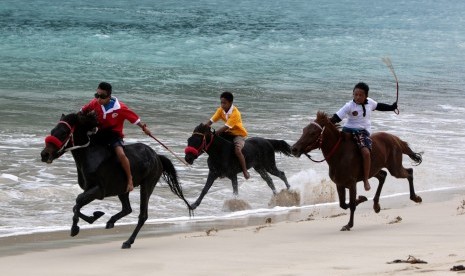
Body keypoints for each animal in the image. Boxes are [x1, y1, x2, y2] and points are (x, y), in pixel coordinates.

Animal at [40, 111, 191, 248]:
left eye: (63, 133)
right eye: (53, 131)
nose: (44, 154)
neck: (91, 155)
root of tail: (157, 156)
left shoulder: (98, 190)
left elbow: (78, 201)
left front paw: (77, 227)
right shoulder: (91, 190)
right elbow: (76, 205)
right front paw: (95, 216)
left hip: (147, 185)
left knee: (142, 215)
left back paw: (128, 242)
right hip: (123, 190)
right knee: (127, 208)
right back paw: (111, 222)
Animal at [292, 111, 422, 231]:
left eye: (313, 133)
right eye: (304, 130)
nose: (294, 149)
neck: (339, 154)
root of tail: (396, 139)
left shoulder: (351, 183)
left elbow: (352, 204)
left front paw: (349, 224)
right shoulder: (339, 184)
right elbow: (343, 204)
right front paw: (362, 199)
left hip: (395, 168)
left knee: (409, 172)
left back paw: (415, 198)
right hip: (374, 170)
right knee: (383, 175)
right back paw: (376, 205)